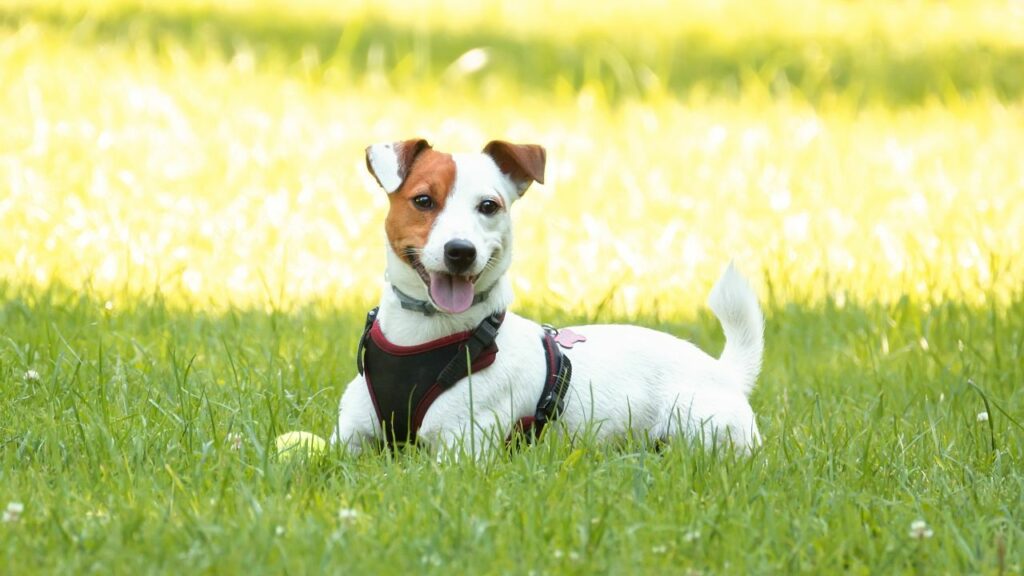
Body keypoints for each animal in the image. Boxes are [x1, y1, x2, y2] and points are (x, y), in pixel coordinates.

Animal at [331, 138, 765, 453]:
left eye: (488, 206)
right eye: (423, 200)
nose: (460, 251)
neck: (425, 335)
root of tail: (726, 372)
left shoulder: (462, 448)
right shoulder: (348, 437)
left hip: (700, 426)